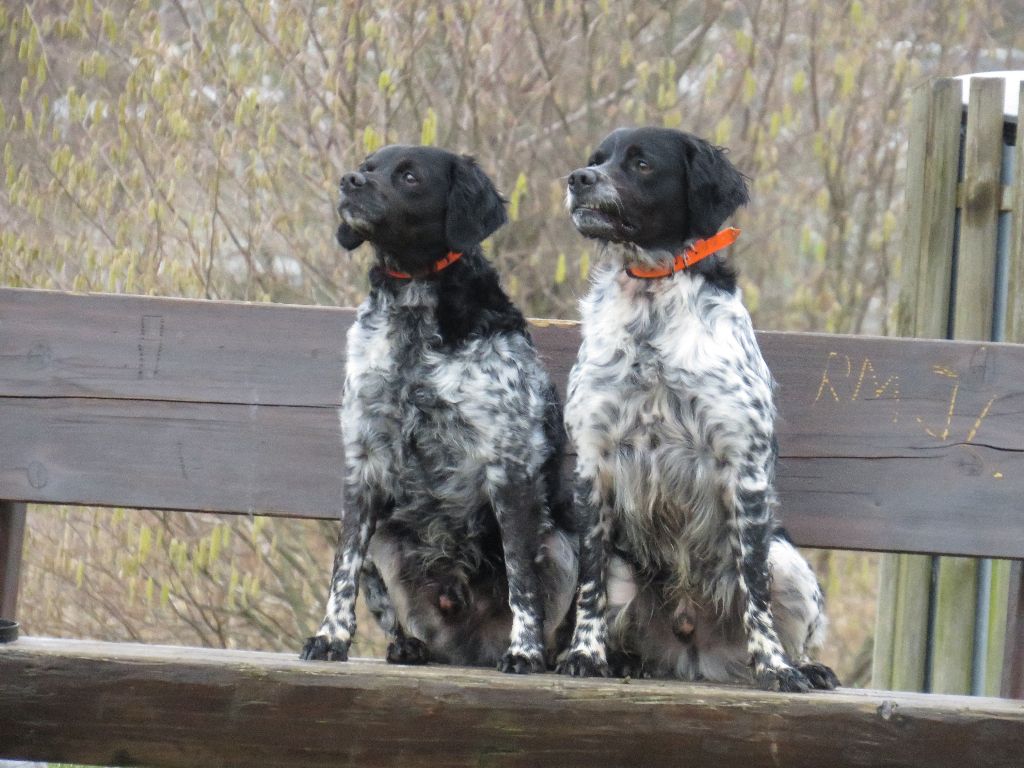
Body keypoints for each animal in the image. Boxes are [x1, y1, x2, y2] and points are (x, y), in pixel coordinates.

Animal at [301, 145, 577, 671]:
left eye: (409, 176)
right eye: (367, 168)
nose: (349, 182)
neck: (413, 304)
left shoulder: (508, 468)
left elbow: (522, 580)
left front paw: (524, 651)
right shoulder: (364, 466)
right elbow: (343, 570)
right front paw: (330, 638)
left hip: (562, 542)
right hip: (385, 538)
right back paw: (407, 645)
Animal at [557, 126, 835, 692]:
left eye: (641, 163)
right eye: (597, 159)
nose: (578, 179)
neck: (652, 301)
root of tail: (693, 655)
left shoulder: (742, 466)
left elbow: (755, 590)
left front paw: (775, 667)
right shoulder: (594, 465)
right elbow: (590, 584)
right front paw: (585, 655)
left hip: (788, 558)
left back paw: (803, 665)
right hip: (627, 570)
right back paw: (624, 660)